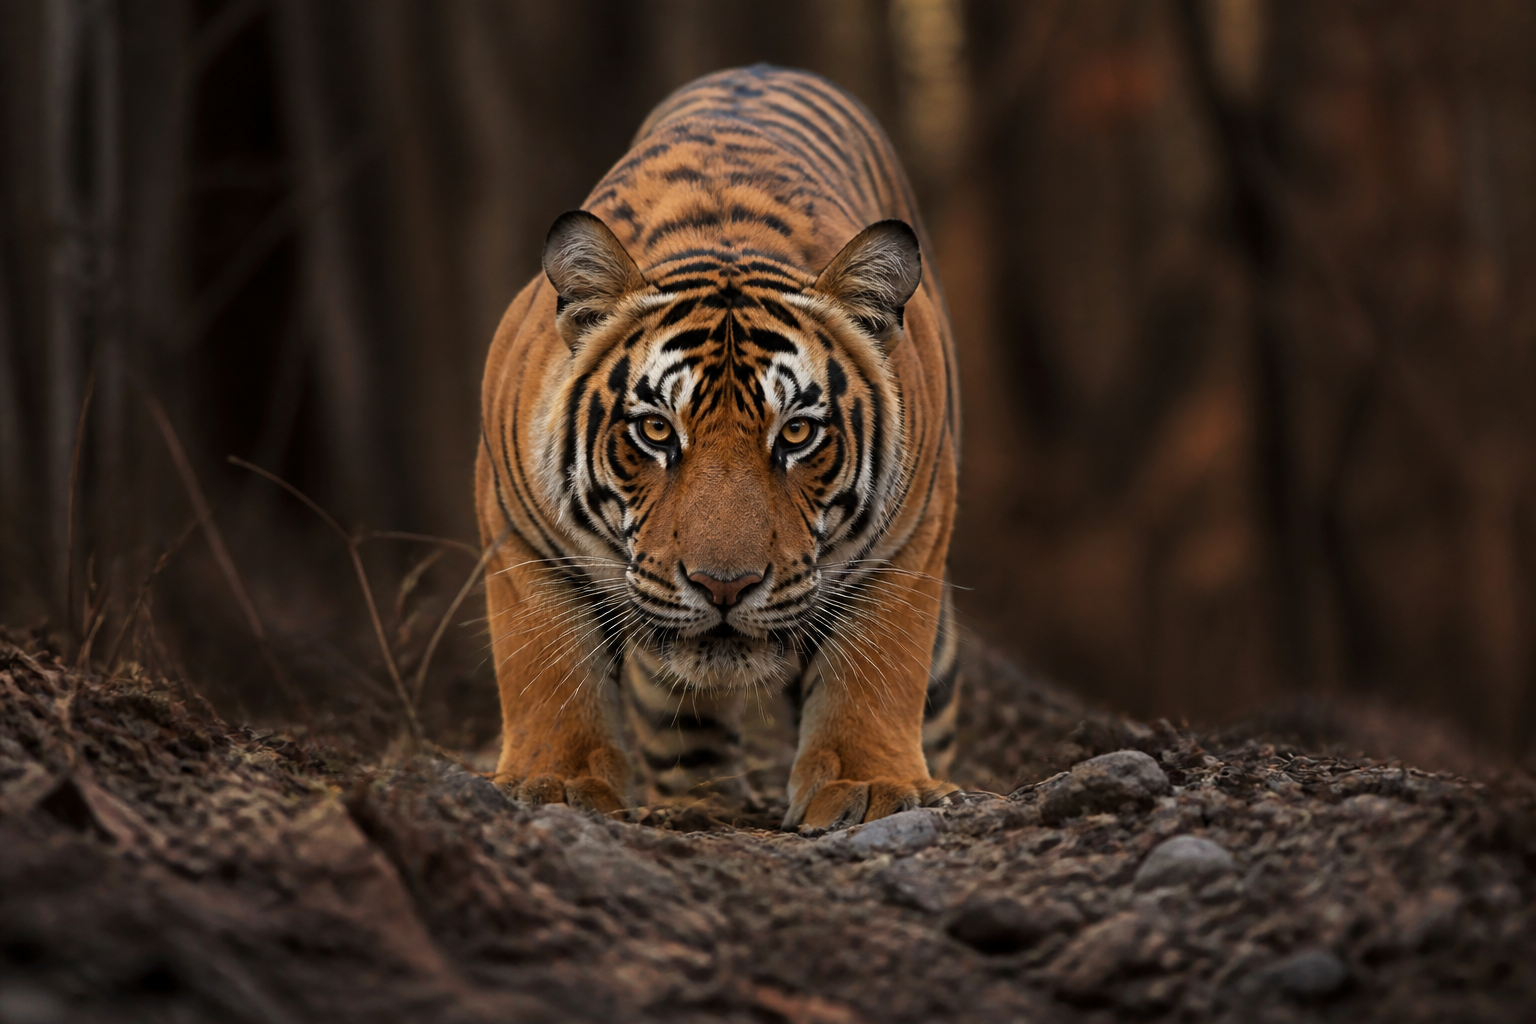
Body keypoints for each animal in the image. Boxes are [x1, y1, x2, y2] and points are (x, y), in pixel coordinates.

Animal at [476, 64, 962, 831]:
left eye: (796, 432)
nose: (724, 586)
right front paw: (554, 782)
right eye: (655, 431)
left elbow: (880, 668)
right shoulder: (517, 530)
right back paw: (696, 808)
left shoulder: (911, 535)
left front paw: (870, 786)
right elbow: (544, 666)